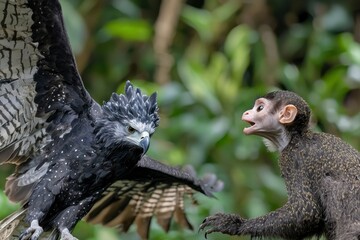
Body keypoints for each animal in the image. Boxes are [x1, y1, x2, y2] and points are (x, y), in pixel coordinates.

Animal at [200, 90, 360, 240]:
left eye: (260, 108)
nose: (246, 112)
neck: (296, 135)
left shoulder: (291, 157)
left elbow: (307, 212)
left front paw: (236, 224)